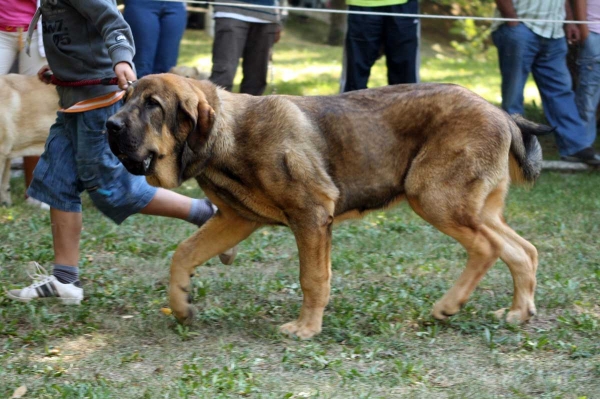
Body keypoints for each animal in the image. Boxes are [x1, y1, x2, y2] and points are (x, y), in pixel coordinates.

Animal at [105, 73, 552, 340]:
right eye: (124, 98)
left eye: (153, 105)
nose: (110, 125)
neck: (226, 138)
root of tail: (503, 114)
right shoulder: (236, 219)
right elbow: (183, 254)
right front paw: (181, 304)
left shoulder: (311, 214)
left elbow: (313, 278)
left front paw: (306, 328)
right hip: (475, 208)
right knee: (522, 250)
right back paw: (518, 313)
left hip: (434, 196)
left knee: (488, 248)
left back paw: (448, 306)